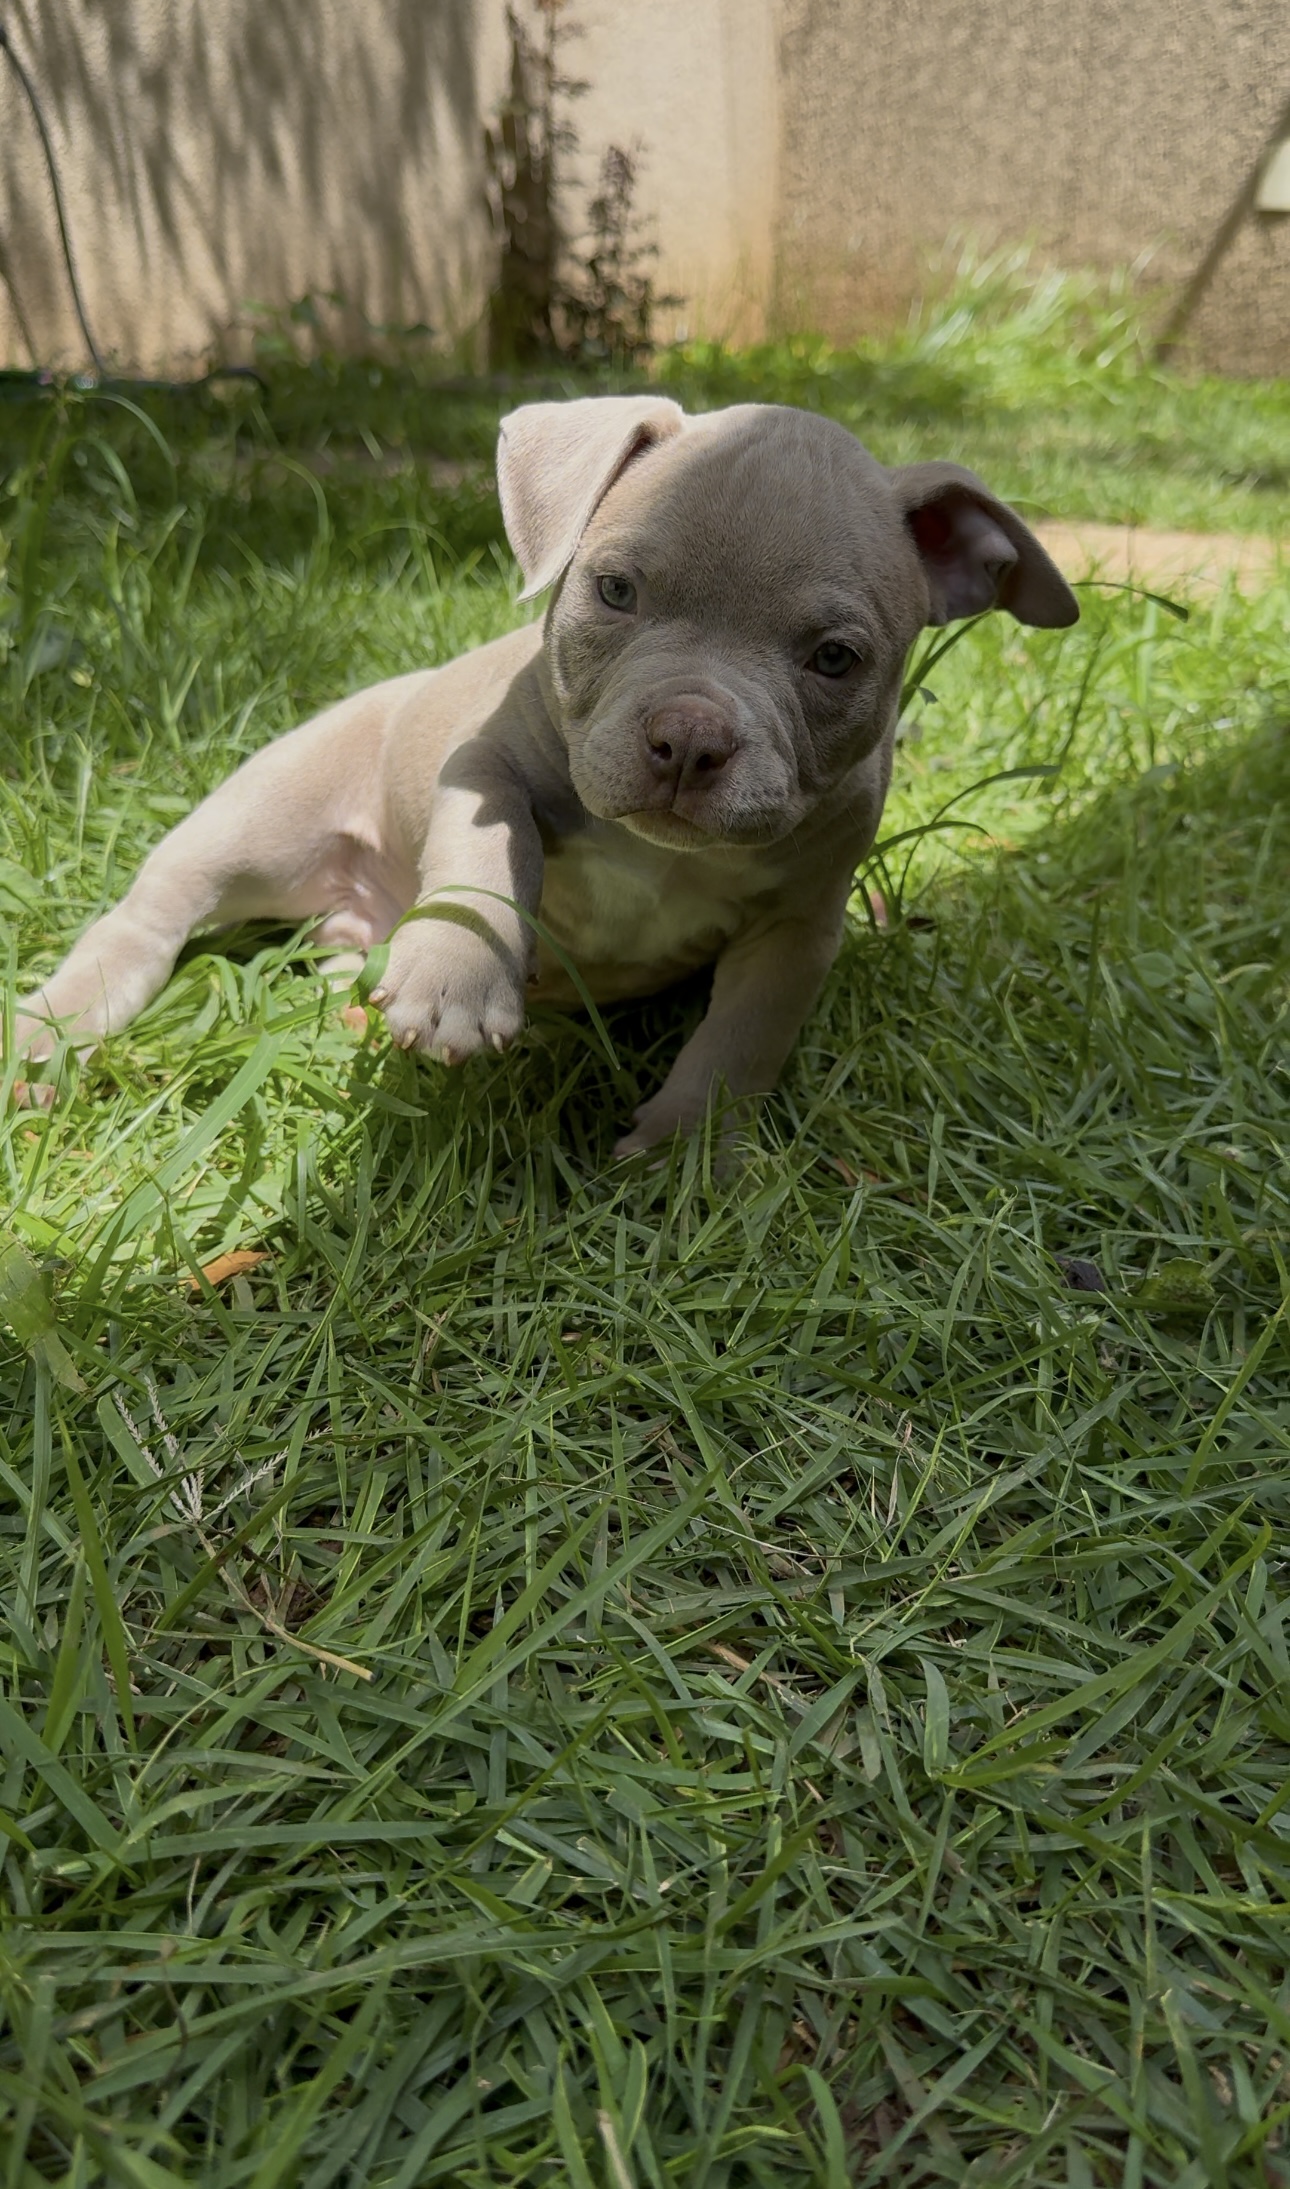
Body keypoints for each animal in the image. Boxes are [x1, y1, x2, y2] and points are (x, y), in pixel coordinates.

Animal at [12, 396, 1077, 1155]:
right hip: (258, 827)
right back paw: (57, 1026)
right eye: (614, 590)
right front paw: (455, 978)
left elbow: (740, 1041)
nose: (690, 735)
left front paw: (683, 1154)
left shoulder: (798, 929)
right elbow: (486, 862)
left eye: (835, 659)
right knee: (151, 915)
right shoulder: (485, 766)